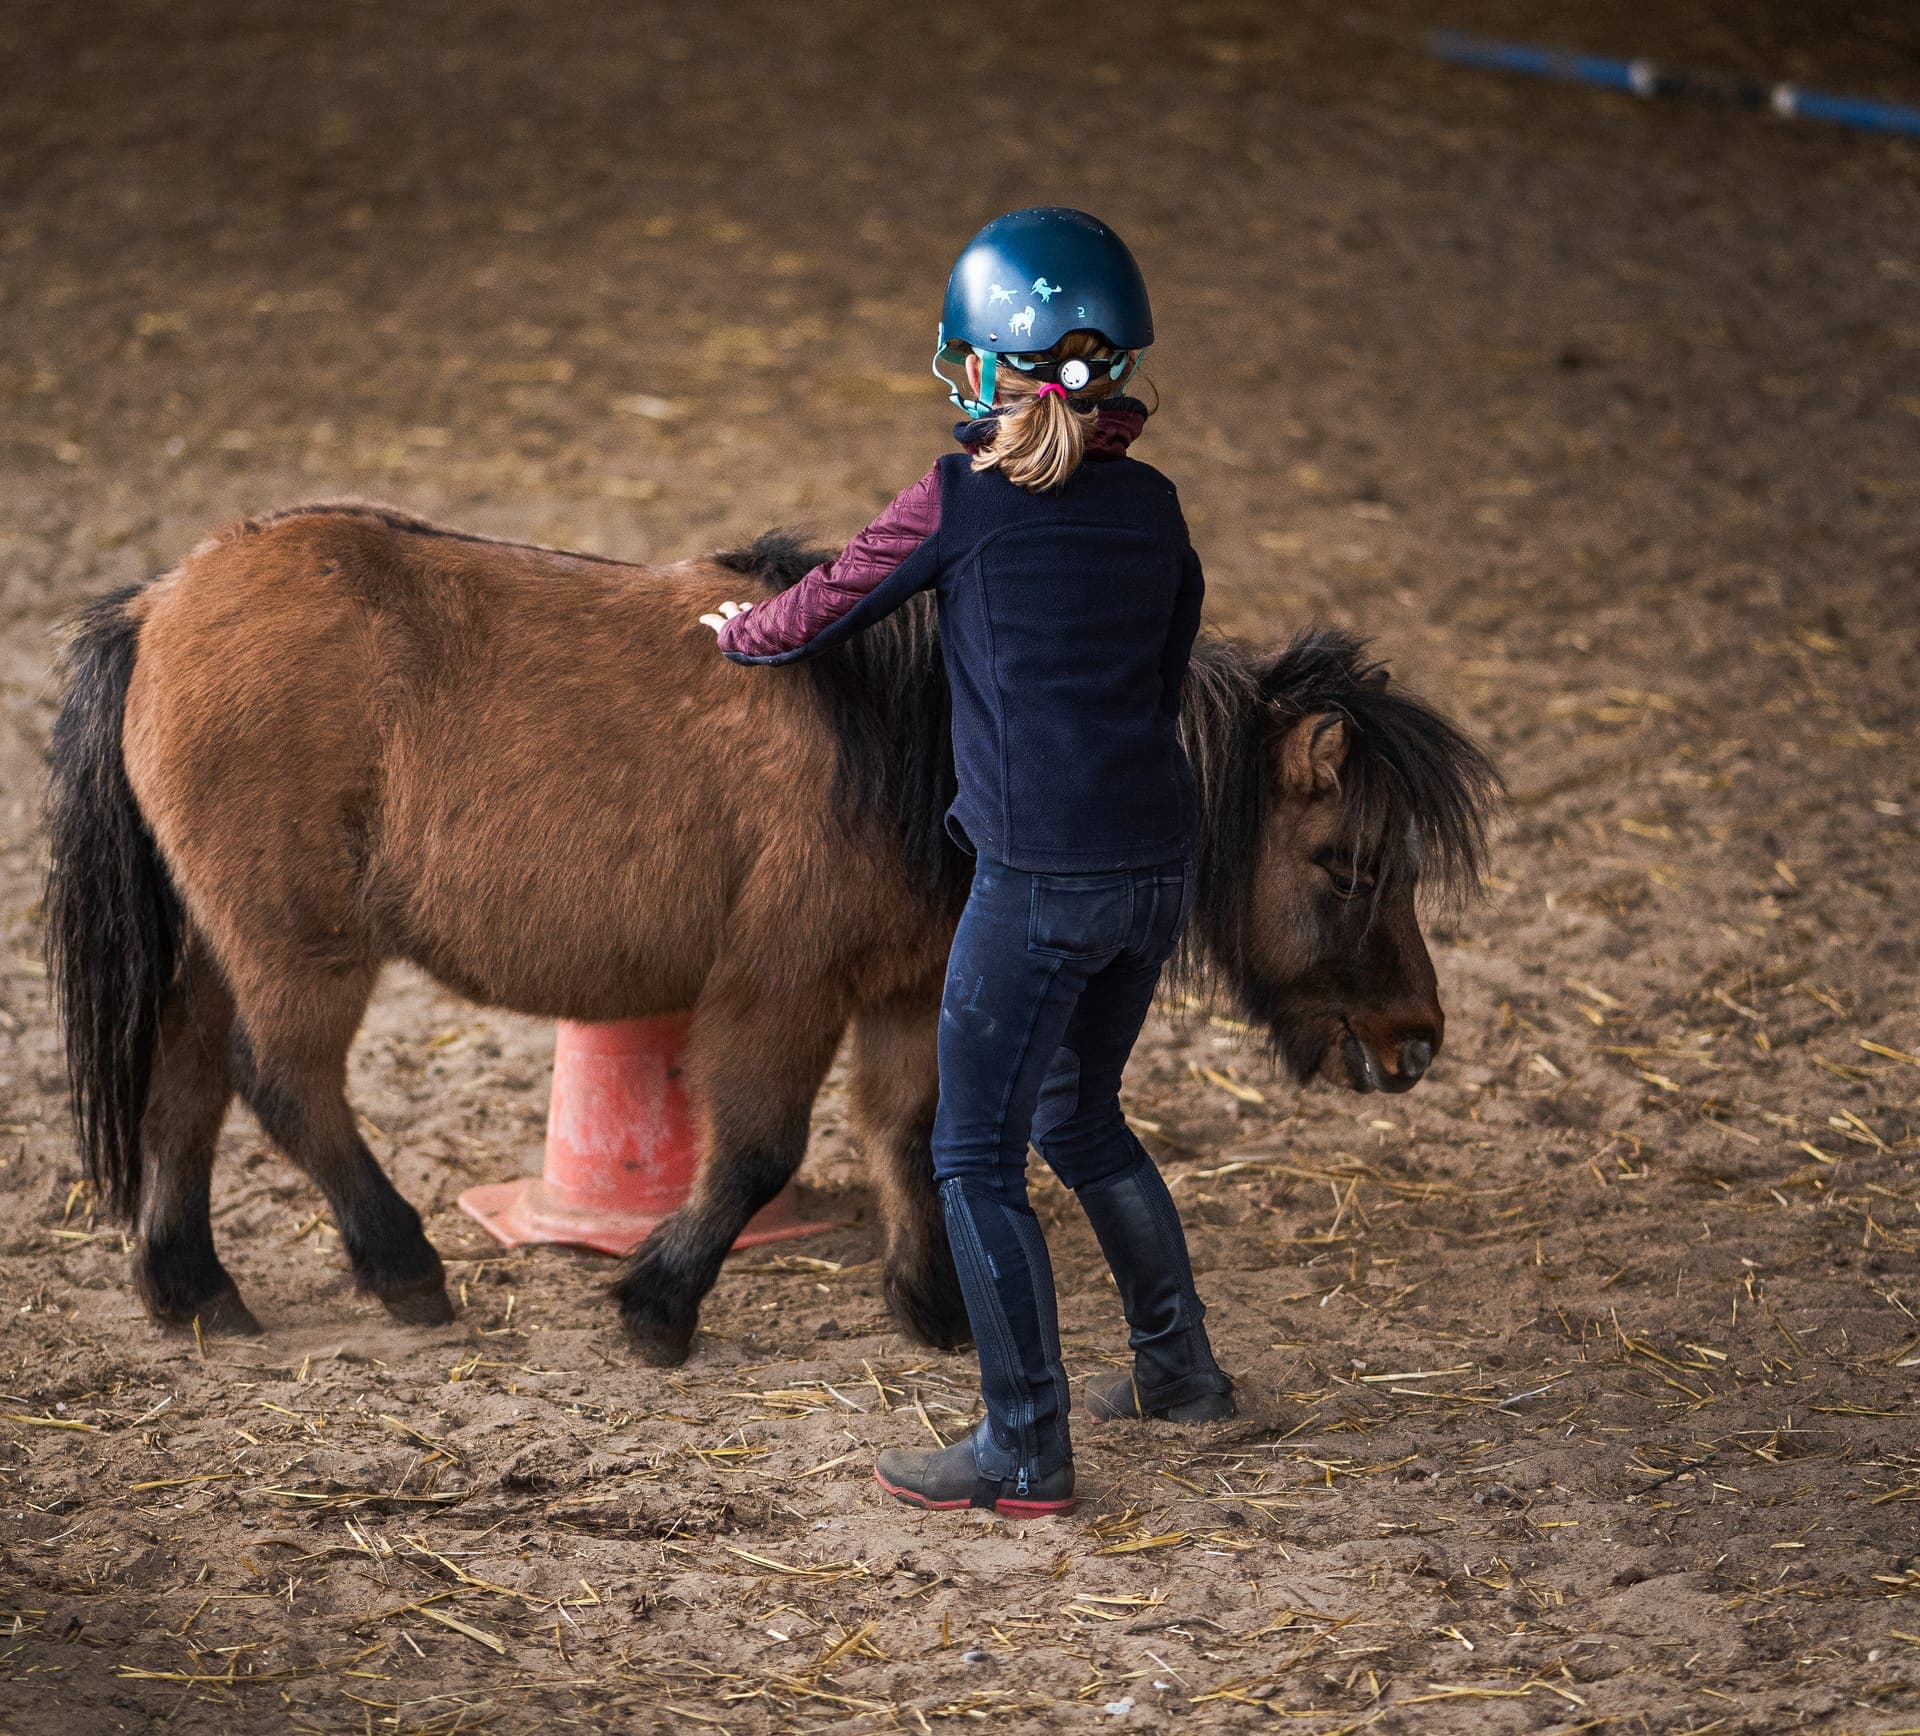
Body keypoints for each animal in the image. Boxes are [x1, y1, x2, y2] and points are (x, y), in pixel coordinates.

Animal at [42, 504, 1501, 1364]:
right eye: (1347, 862)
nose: (1417, 1041)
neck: (925, 740)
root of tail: (161, 603)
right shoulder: (783, 991)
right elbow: (754, 1151)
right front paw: (658, 1303)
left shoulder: (910, 989)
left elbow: (910, 1136)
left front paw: (937, 1308)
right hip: (299, 945)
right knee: (284, 1083)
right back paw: (400, 1267)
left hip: (213, 945)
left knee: (182, 1085)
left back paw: (190, 1286)